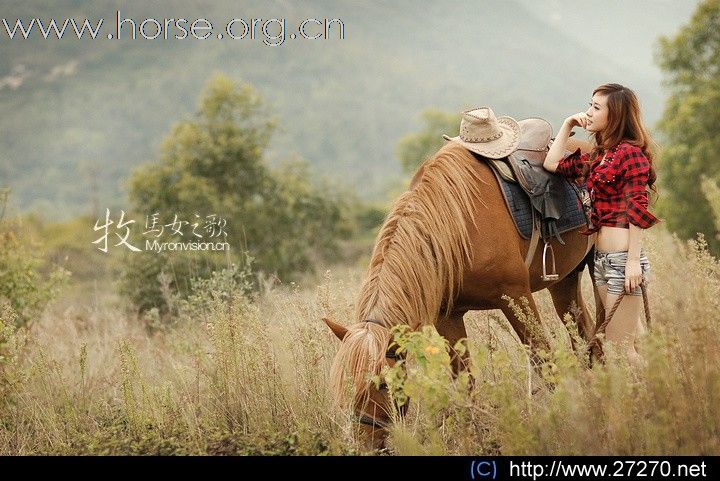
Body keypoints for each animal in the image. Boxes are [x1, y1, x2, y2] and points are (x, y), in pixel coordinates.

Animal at [324, 136, 600, 450]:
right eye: (343, 387)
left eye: (382, 383)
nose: (365, 445)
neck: (457, 227)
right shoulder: (448, 317)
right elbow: (465, 382)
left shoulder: (517, 297)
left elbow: (544, 359)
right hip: (564, 282)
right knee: (587, 336)